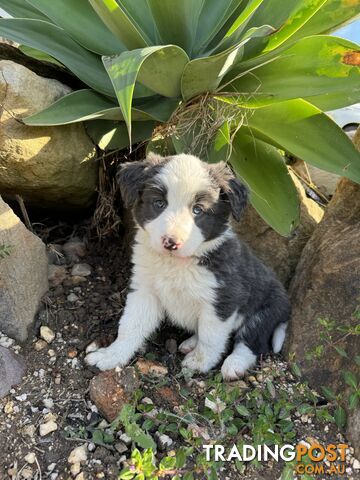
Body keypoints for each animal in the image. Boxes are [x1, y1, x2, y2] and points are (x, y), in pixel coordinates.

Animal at [86, 154, 292, 378]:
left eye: (198, 210)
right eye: (159, 203)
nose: (171, 242)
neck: (175, 264)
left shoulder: (223, 299)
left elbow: (211, 337)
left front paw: (200, 362)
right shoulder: (144, 290)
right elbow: (130, 325)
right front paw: (111, 355)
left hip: (265, 311)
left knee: (251, 342)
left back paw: (234, 364)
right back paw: (191, 343)